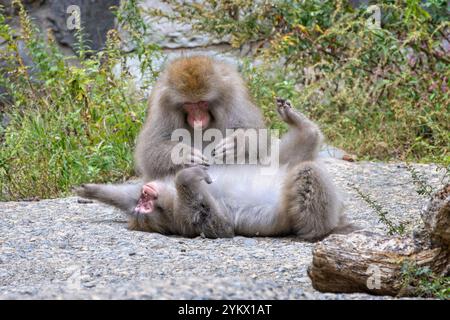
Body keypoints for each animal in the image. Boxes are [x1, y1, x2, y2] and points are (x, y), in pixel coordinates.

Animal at [75, 99, 354, 241]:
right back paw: (318, 231)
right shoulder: (184, 219)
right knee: (307, 173)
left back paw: (299, 122)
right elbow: (220, 227)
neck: (171, 199)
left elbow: (123, 196)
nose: (145, 192)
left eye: (144, 199)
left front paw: (91, 190)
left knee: (288, 155)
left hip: (277, 164)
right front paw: (187, 177)